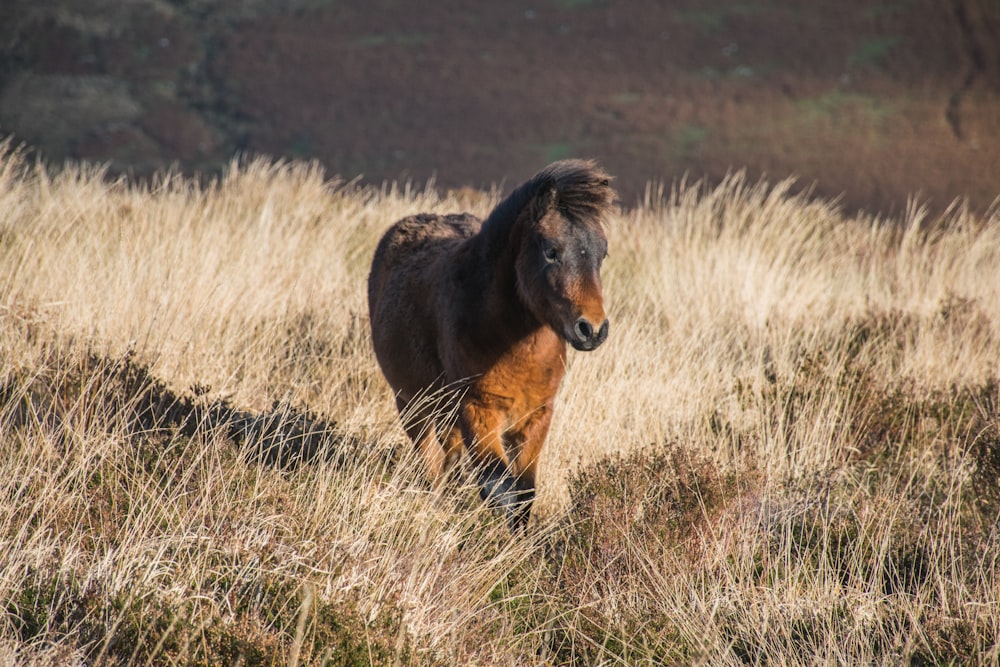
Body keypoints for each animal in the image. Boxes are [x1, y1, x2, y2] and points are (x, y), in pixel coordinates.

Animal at [368, 162, 612, 532]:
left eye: (602, 253)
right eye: (551, 251)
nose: (592, 329)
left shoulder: (536, 417)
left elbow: (524, 492)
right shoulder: (478, 410)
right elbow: (500, 489)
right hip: (412, 404)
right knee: (430, 464)